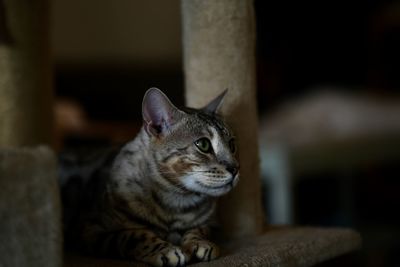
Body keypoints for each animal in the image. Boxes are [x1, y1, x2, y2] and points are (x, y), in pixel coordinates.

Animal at [59, 87, 239, 266]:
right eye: (203, 144)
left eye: (232, 144)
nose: (235, 169)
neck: (177, 203)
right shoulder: (90, 229)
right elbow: (132, 235)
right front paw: (165, 250)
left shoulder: (213, 223)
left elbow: (201, 228)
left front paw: (199, 242)